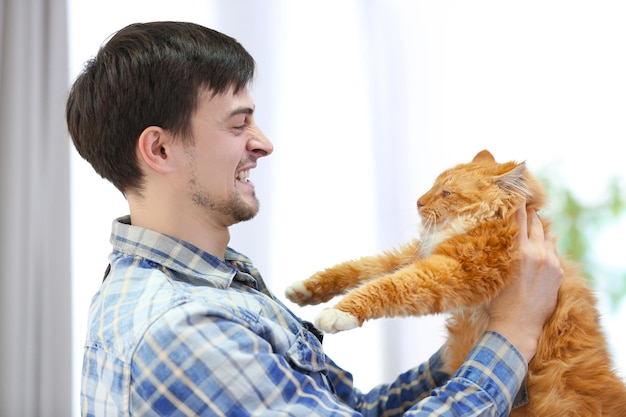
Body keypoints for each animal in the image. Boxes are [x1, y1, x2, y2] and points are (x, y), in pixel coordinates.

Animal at [284, 150, 624, 416]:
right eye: (432, 186)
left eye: (447, 193)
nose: (419, 202)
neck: (487, 222)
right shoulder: (415, 257)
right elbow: (361, 268)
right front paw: (306, 289)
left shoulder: (452, 270)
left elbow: (386, 286)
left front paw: (338, 313)